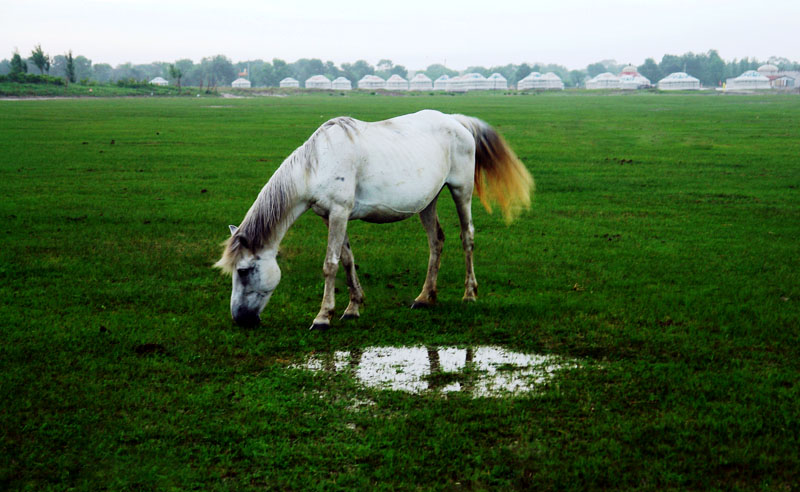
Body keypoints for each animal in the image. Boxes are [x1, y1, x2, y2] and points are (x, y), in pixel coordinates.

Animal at [216, 109, 536, 328]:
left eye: (243, 271)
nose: (239, 319)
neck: (317, 163)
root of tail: (456, 120)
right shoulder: (331, 216)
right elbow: (346, 259)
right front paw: (352, 307)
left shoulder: (339, 213)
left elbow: (330, 264)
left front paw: (323, 316)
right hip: (428, 201)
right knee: (436, 242)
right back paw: (425, 297)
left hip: (461, 191)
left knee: (466, 236)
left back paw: (469, 294)